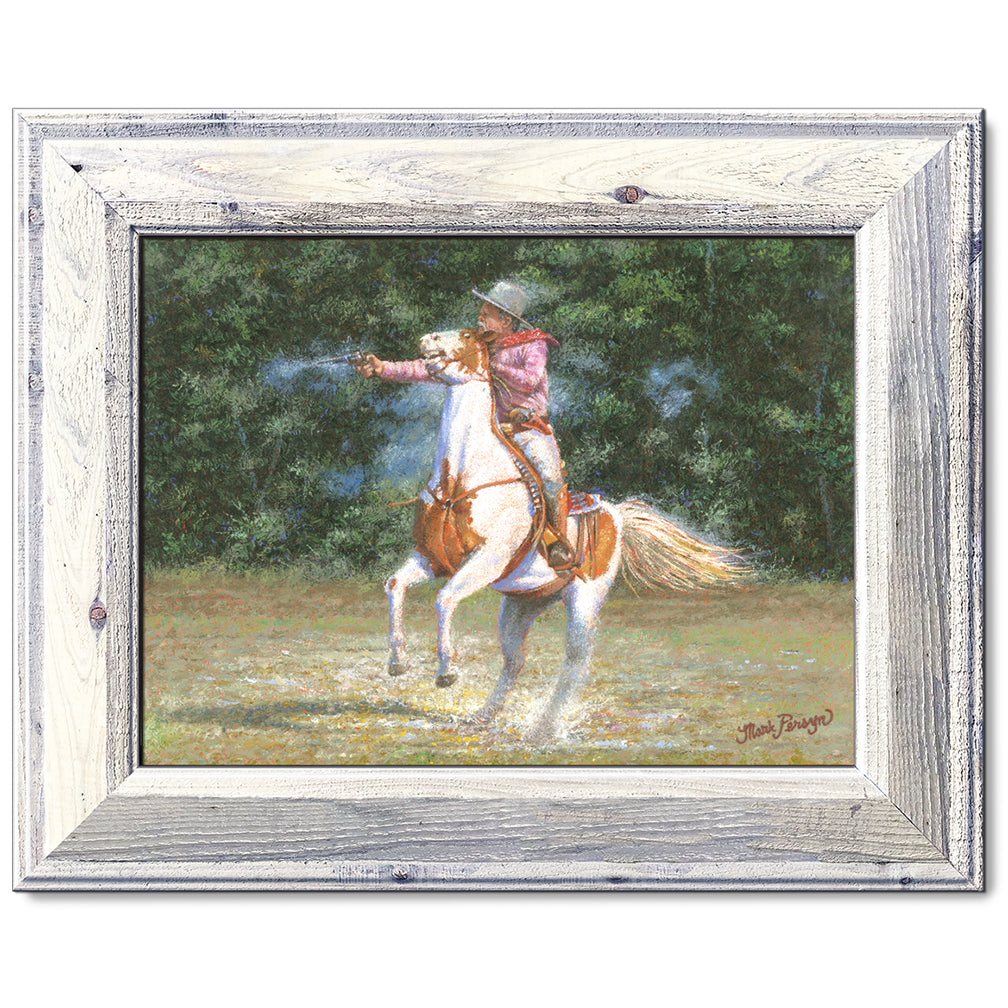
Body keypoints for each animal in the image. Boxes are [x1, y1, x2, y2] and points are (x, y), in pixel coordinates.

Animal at [381, 330, 745, 741]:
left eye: (466, 334)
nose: (427, 339)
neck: (462, 475)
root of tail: (616, 514)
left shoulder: (487, 561)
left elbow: (444, 599)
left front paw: (446, 672)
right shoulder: (431, 558)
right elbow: (396, 584)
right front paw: (397, 662)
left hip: (585, 601)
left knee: (575, 662)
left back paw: (544, 728)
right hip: (521, 606)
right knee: (515, 661)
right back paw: (484, 717)